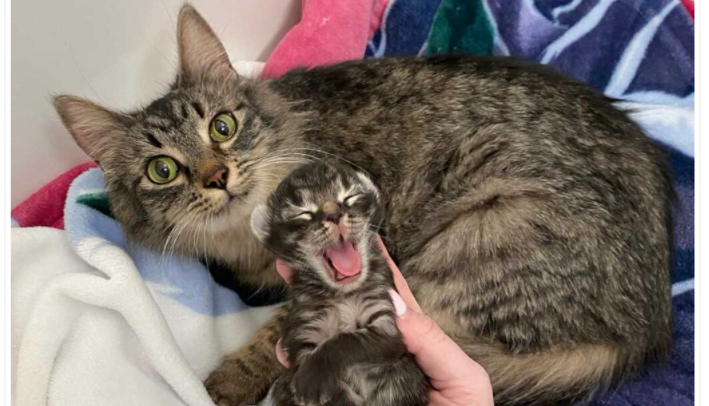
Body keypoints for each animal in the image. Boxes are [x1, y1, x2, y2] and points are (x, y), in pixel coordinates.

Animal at [250, 162, 426, 406]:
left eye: (349, 198)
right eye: (304, 213)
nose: (334, 214)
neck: (342, 295)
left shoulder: (386, 323)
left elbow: (346, 340)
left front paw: (313, 375)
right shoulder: (302, 332)